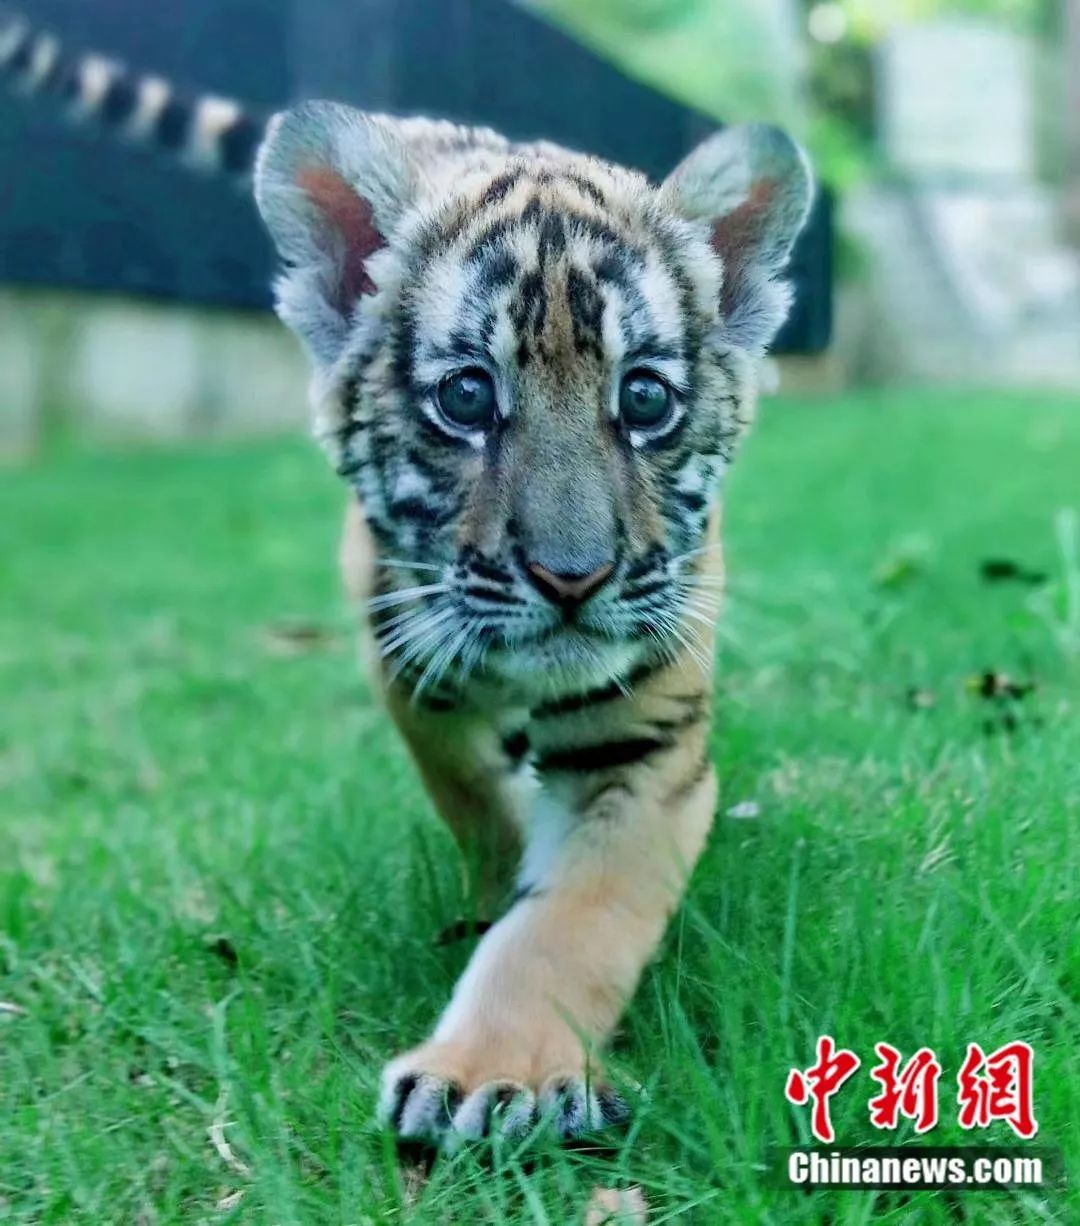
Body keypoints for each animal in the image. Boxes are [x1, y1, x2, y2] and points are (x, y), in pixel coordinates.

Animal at [2, 4, 813, 1144]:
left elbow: (573, 918)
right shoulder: (405, 658)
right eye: (466, 397)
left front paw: (495, 1071)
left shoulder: (640, 740)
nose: (572, 578)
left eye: (645, 398)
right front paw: (495, 906)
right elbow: (474, 794)